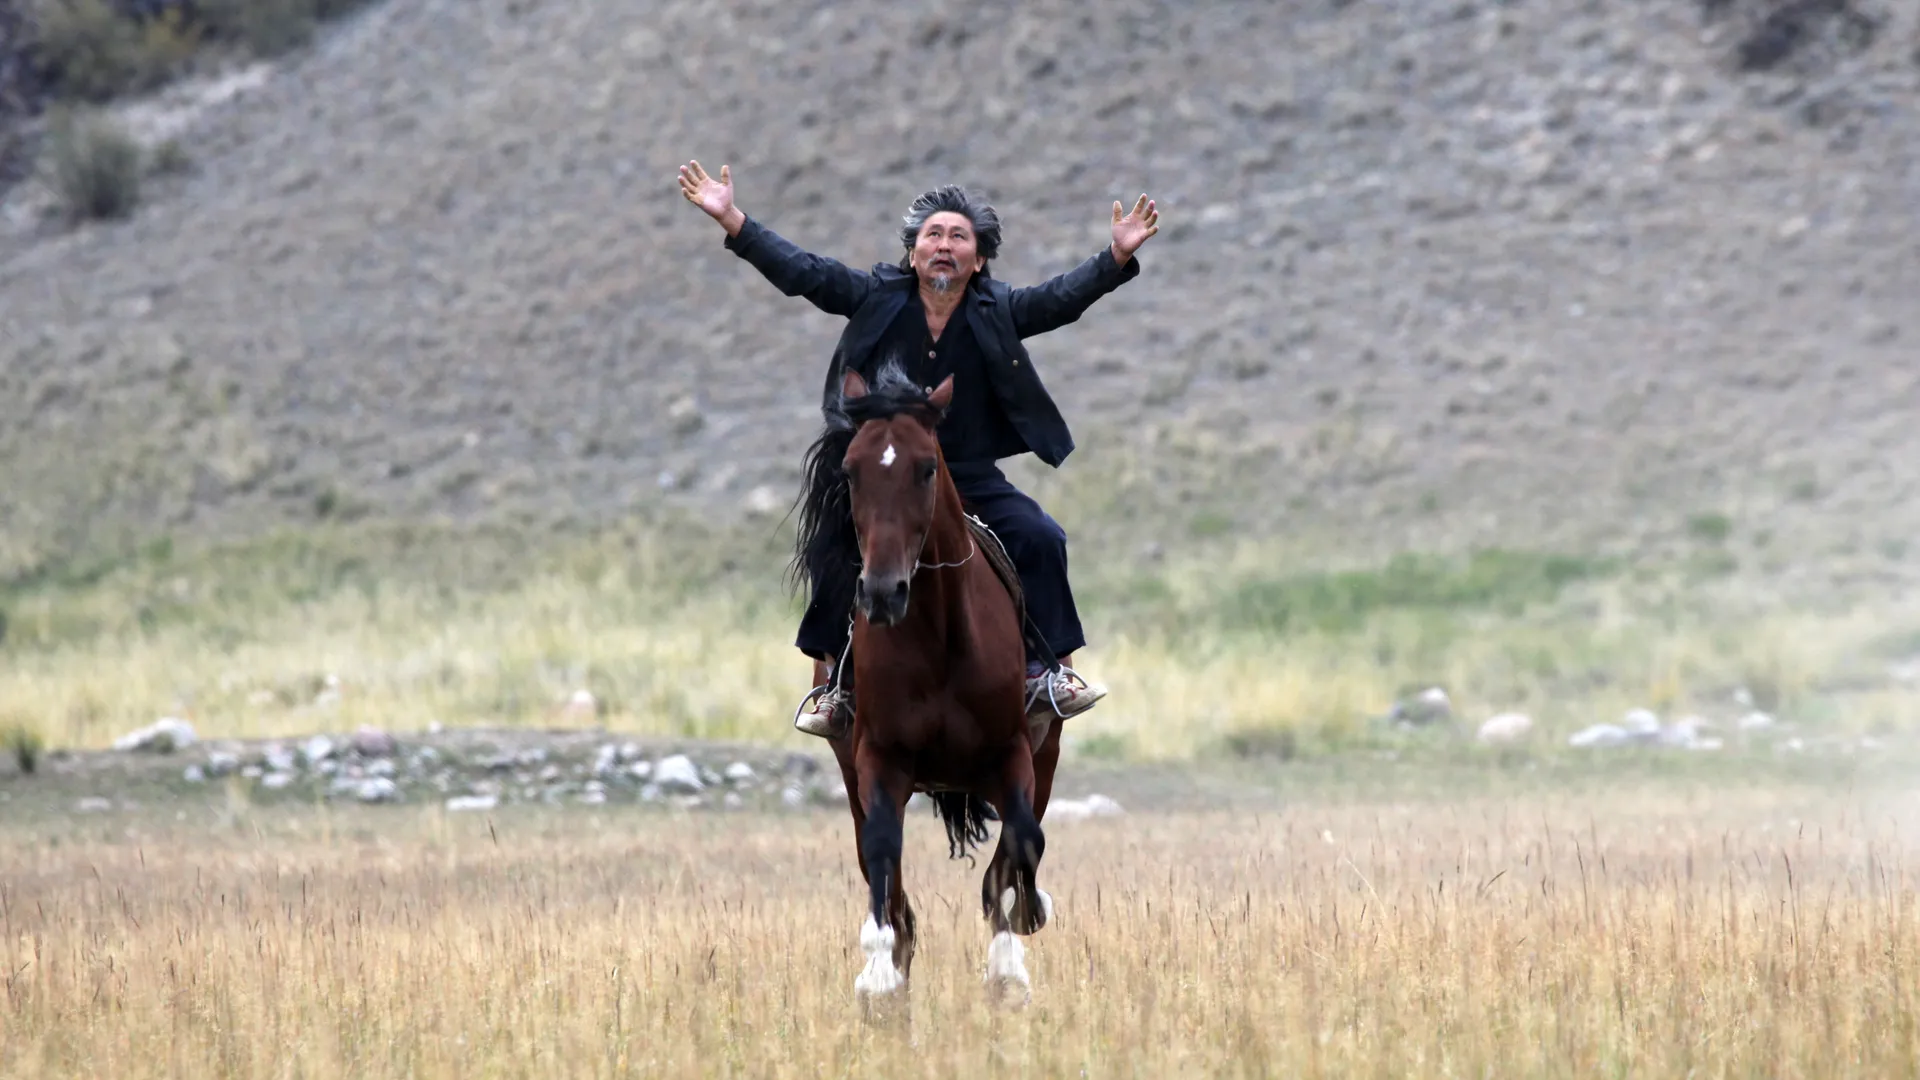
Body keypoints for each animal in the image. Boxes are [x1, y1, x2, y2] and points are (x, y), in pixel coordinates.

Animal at [793, 363, 1064, 1012]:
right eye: (850, 470)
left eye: (925, 467)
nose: (882, 592)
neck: (941, 638)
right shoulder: (878, 760)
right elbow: (884, 856)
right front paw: (879, 976)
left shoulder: (1014, 753)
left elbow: (1022, 844)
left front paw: (1009, 966)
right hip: (851, 772)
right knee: (884, 876)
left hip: (1045, 754)